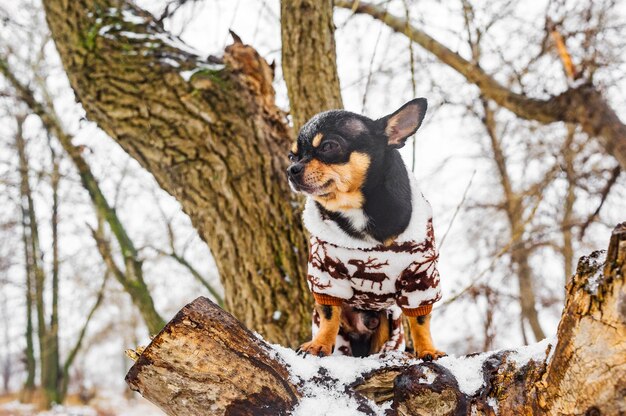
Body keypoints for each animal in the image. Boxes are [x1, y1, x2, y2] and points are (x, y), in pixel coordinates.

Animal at [288, 99, 444, 360]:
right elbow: (328, 316)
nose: (291, 169)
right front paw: (318, 344)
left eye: (329, 146)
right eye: (292, 156)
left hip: (388, 326)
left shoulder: (420, 276)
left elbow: (420, 321)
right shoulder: (326, 275)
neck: (354, 209)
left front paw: (427, 350)